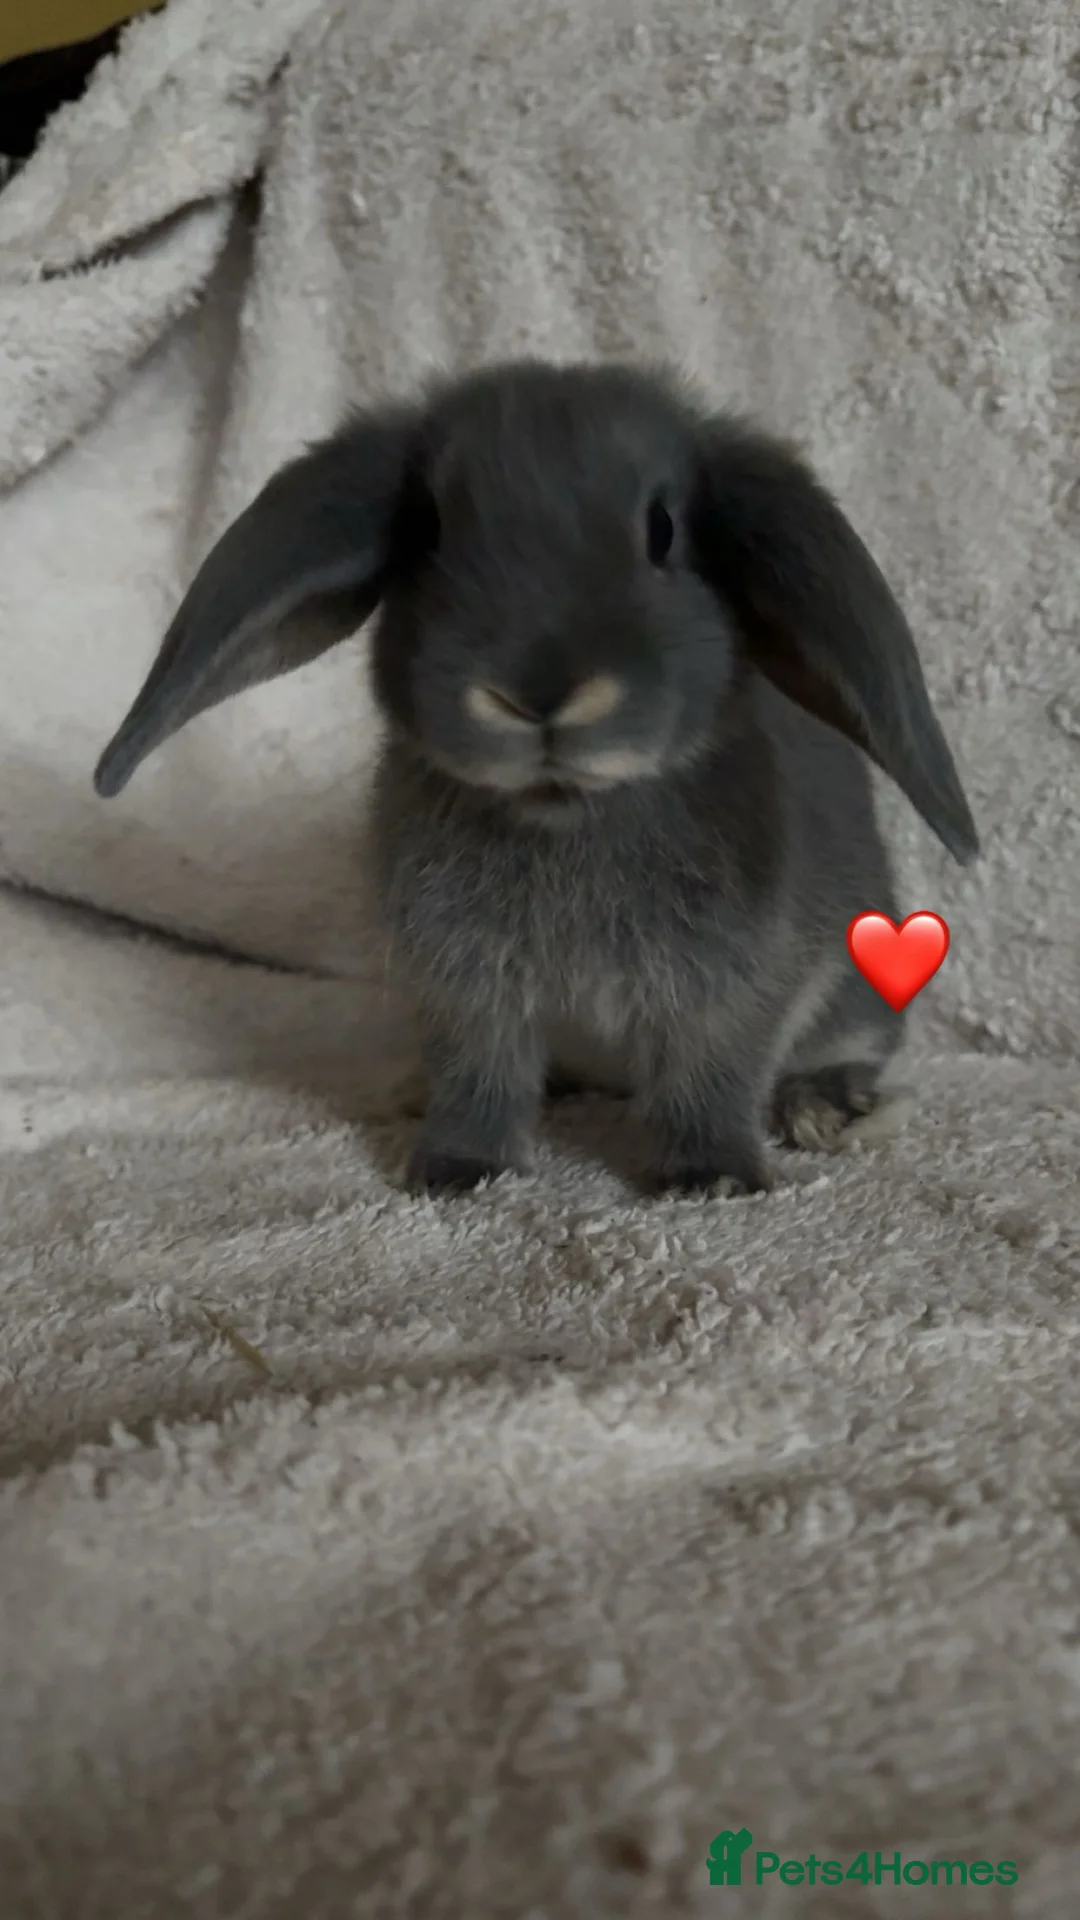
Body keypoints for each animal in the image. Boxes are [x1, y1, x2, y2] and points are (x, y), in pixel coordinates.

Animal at [94, 358, 979, 1198]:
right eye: (431, 531)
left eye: (663, 532)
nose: (538, 693)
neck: (567, 813)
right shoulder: (461, 985)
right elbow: (479, 1074)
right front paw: (458, 1169)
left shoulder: (731, 985)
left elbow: (710, 1074)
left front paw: (712, 1177)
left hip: (857, 986)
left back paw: (833, 1108)